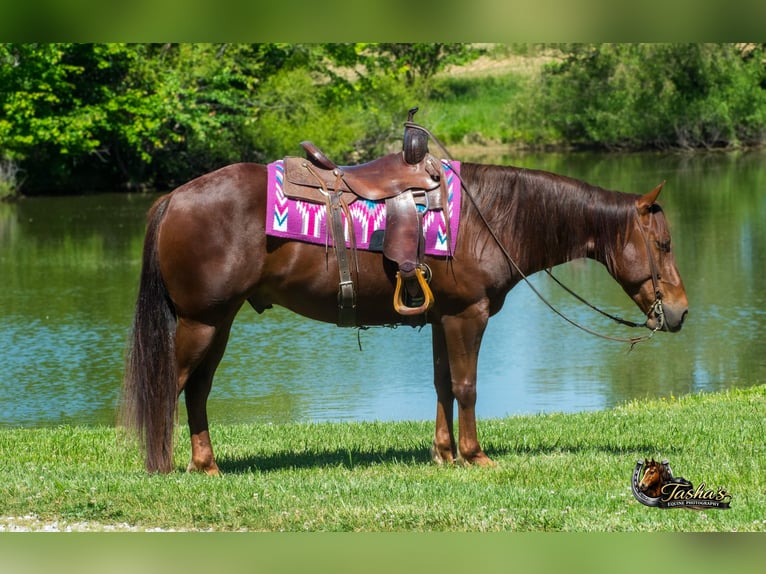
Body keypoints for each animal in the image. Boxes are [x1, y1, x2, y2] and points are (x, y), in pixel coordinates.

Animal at [122, 160, 688, 474]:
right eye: (662, 245)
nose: (681, 312)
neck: (489, 216)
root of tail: (173, 198)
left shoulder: (442, 319)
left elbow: (441, 385)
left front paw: (443, 454)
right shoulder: (467, 315)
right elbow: (466, 386)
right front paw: (475, 455)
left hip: (218, 323)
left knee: (196, 391)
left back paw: (206, 464)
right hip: (202, 322)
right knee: (171, 386)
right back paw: (162, 465)